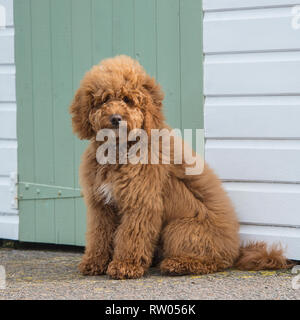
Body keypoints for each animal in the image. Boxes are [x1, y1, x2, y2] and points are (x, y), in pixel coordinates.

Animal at [69, 55, 290, 280]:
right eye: (104, 99)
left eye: (127, 99)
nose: (115, 118)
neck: (119, 150)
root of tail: (235, 250)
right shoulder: (100, 205)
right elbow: (99, 234)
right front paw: (94, 263)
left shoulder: (141, 202)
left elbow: (131, 235)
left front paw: (125, 265)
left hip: (179, 228)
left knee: (212, 261)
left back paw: (176, 264)